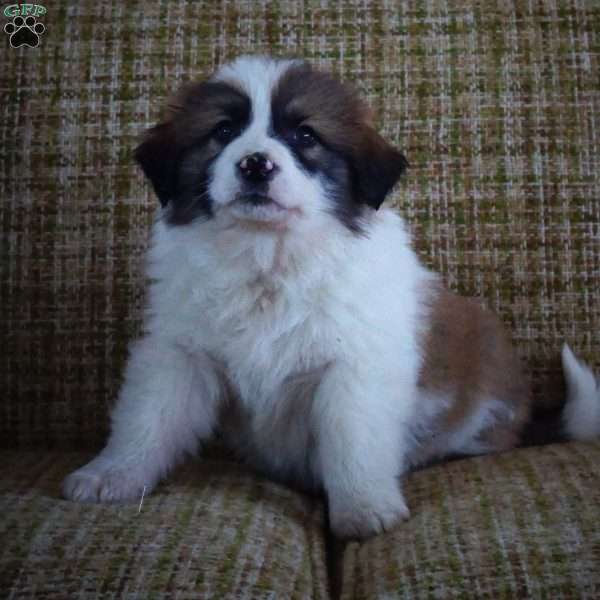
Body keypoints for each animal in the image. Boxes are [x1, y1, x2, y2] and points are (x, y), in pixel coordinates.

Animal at [62, 55, 600, 540]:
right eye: (223, 131)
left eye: (305, 137)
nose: (255, 163)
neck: (268, 257)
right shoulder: (180, 353)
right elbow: (148, 417)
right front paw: (112, 474)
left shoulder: (354, 370)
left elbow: (353, 440)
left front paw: (363, 508)